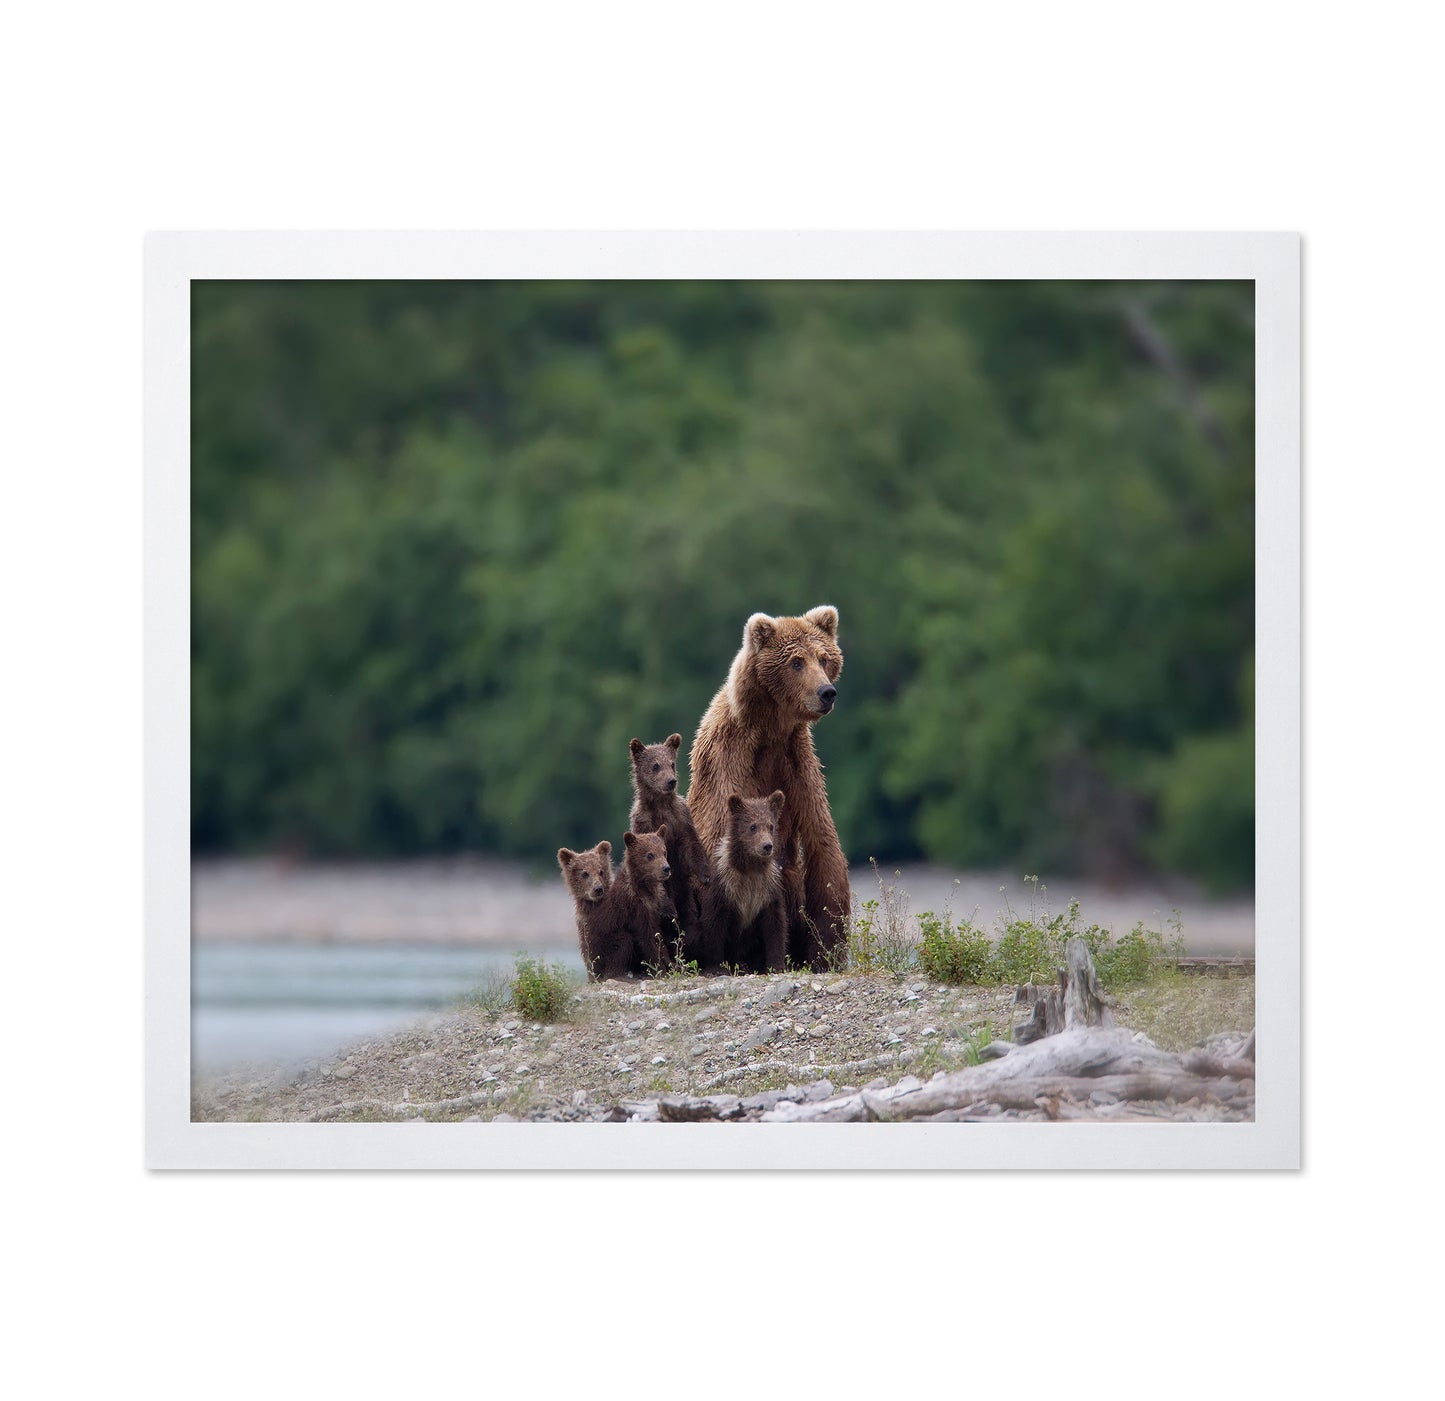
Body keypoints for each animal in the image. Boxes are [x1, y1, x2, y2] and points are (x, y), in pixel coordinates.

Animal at [581, 828, 676, 981]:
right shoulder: (634, 909)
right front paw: (660, 970)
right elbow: (646, 939)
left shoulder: (654, 908)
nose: (666, 868)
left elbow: (658, 936)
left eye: (664, 851)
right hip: (600, 945)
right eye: (650, 855)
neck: (643, 888)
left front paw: (672, 964)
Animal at [628, 734, 711, 953]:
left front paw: (705, 875)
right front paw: (667, 909)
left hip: (685, 895)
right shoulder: (643, 822)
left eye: (672, 763)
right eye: (655, 765)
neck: (660, 804)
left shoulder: (681, 818)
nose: (671, 781)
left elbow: (691, 845)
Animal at [699, 791, 788, 974]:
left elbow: (775, 924)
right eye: (753, 826)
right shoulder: (725, 884)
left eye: (770, 826)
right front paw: (716, 967)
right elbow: (714, 923)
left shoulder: (768, 887)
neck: (749, 869)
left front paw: (776, 965)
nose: (767, 846)